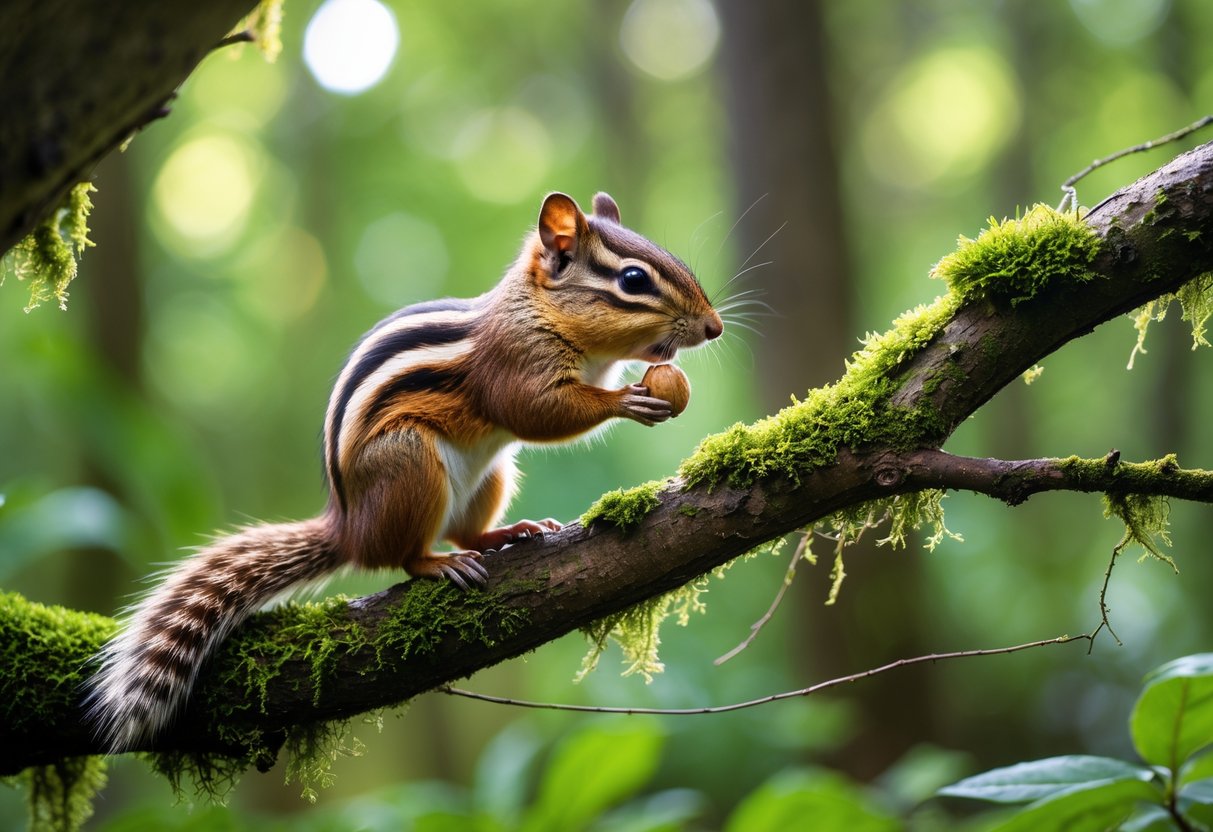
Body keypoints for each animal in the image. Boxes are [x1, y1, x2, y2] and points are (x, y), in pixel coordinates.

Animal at [83, 191, 724, 752]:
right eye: (633, 280)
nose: (714, 327)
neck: (541, 311)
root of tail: (348, 526)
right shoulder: (515, 363)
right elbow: (534, 411)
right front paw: (626, 402)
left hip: (492, 474)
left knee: (465, 529)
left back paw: (509, 532)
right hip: (410, 464)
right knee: (402, 556)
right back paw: (439, 564)